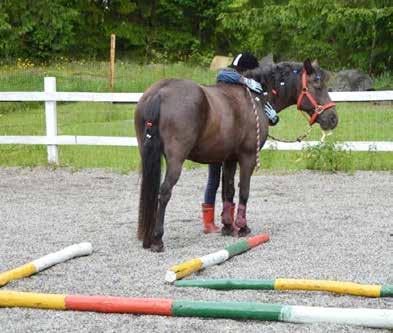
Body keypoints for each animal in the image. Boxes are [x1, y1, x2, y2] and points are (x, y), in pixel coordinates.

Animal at [135, 60, 336, 252]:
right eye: (317, 84)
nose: (333, 118)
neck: (257, 98)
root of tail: (160, 92)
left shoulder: (229, 158)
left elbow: (228, 191)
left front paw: (227, 226)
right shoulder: (248, 157)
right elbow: (244, 191)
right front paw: (242, 226)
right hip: (176, 161)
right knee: (164, 192)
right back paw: (157, 239)